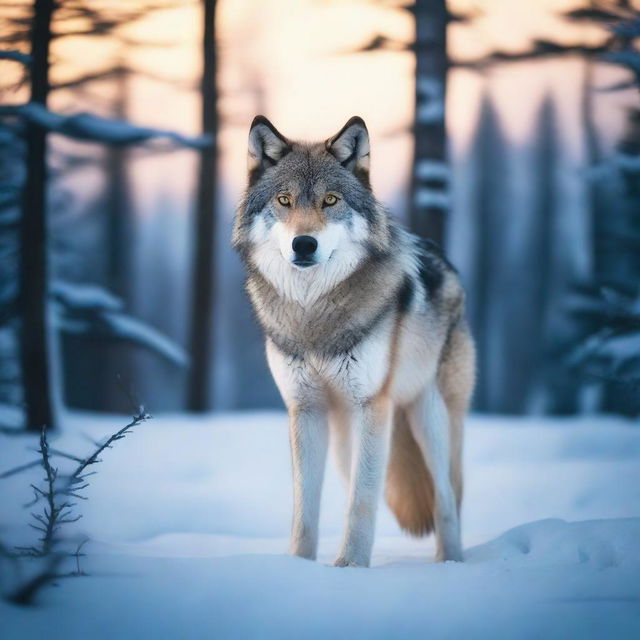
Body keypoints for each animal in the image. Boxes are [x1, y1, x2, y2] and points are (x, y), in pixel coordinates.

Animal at [232, 115, 472, 564]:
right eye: (285, 200)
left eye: (330, 200)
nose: (304, 243)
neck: (314, 316)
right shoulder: (305, 409)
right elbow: (305, 507)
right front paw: (298, 567)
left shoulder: (373, 405)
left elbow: (363, 501)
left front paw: (350, 567)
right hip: (346, 439)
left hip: (428, 415)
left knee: (447, 497)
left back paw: (450, 563)